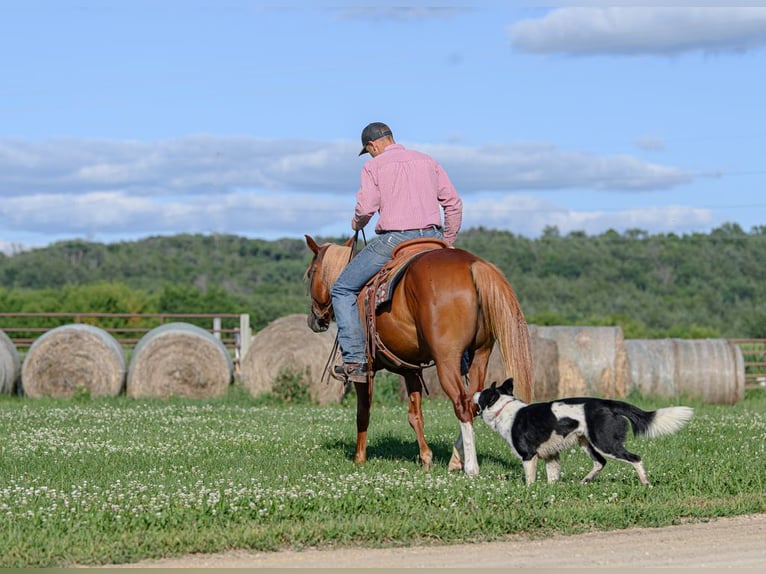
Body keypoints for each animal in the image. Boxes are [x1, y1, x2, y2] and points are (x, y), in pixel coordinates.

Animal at [304, 234, 533, 476]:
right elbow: (415, 415)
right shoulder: (410, 370)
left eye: (311, 273)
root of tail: (472, 265)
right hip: (480, 355)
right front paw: (426, 459)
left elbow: (363, 412)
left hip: (447, 360)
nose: (314, 319)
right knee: (473, 402)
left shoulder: (367, 370)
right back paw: (455, 459)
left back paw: (471, 467)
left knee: (462, 404)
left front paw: (359, 458)